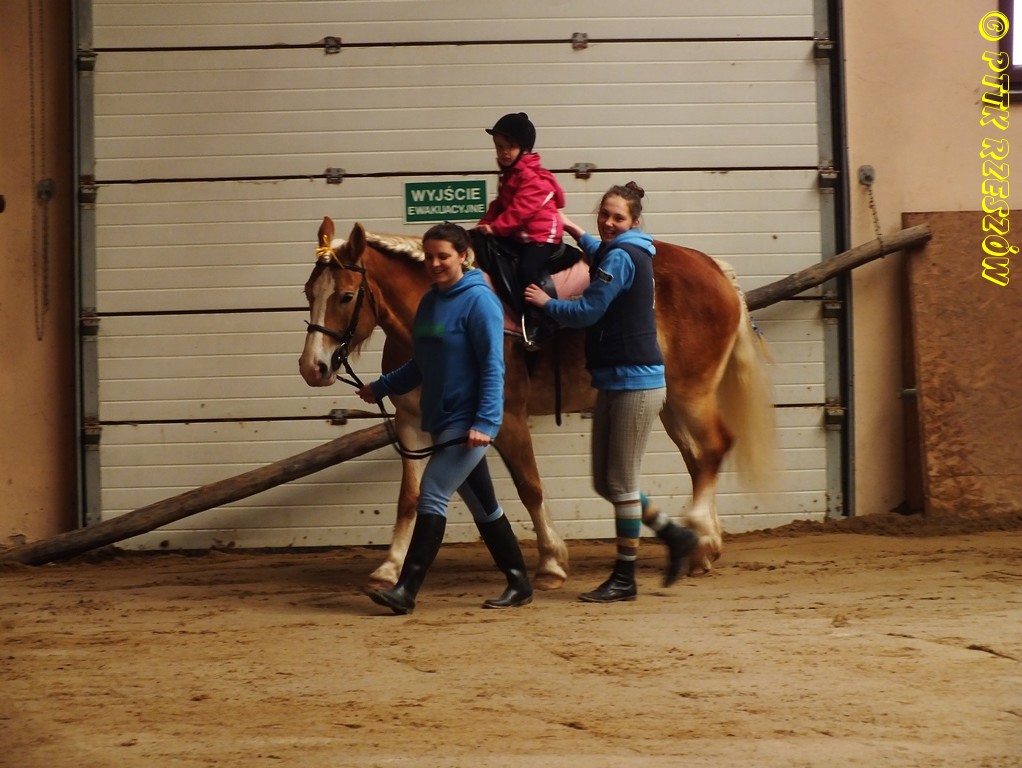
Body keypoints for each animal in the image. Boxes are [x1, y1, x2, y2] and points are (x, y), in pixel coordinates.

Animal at [299, 217, 775, 591]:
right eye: (308, 292)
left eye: (345, 296)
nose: (313, 367)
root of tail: (713, 268)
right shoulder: (411, 423)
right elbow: (410, 498)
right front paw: (389, 567)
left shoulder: (508, 419)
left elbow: (530, 486)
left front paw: (550, 562)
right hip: (668, 401)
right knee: (698, 459)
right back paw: (704, 546)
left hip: (691, 393)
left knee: (713, 448)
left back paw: (700, 540)